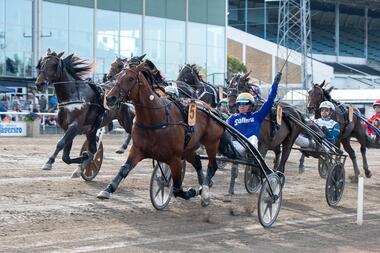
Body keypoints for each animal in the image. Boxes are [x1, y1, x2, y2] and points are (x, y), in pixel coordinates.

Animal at [96, 60, 226, 207]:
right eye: (118, 77)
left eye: (130, 79)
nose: (109, 98)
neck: (156, 118)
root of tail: (213, 111)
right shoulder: (137, 150)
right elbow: (124, 169)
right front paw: (108, 189)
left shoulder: (175, 158)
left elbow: (177, 188)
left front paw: (190, 192)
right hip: (188, 148)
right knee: (198, 162)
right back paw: (203, 184)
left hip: (211, 142)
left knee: (212, 165)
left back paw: (204, 192)